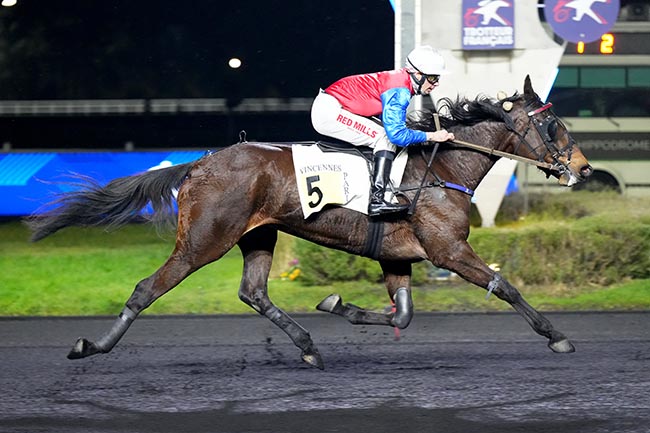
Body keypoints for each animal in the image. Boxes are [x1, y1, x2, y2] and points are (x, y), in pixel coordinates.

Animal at [26, 77, 592, 368]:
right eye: (551, 125)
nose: (583, 169)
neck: (442, 169)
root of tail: (199, 163)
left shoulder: (398, 256)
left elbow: (403, 314)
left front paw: (338, 304)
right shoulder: (448, 250)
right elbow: (505, 286)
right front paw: (557, 335)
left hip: (258, 234)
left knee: (253, 292)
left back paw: (308, 346)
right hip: (203, 241)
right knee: (147, 288)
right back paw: (92, 346)